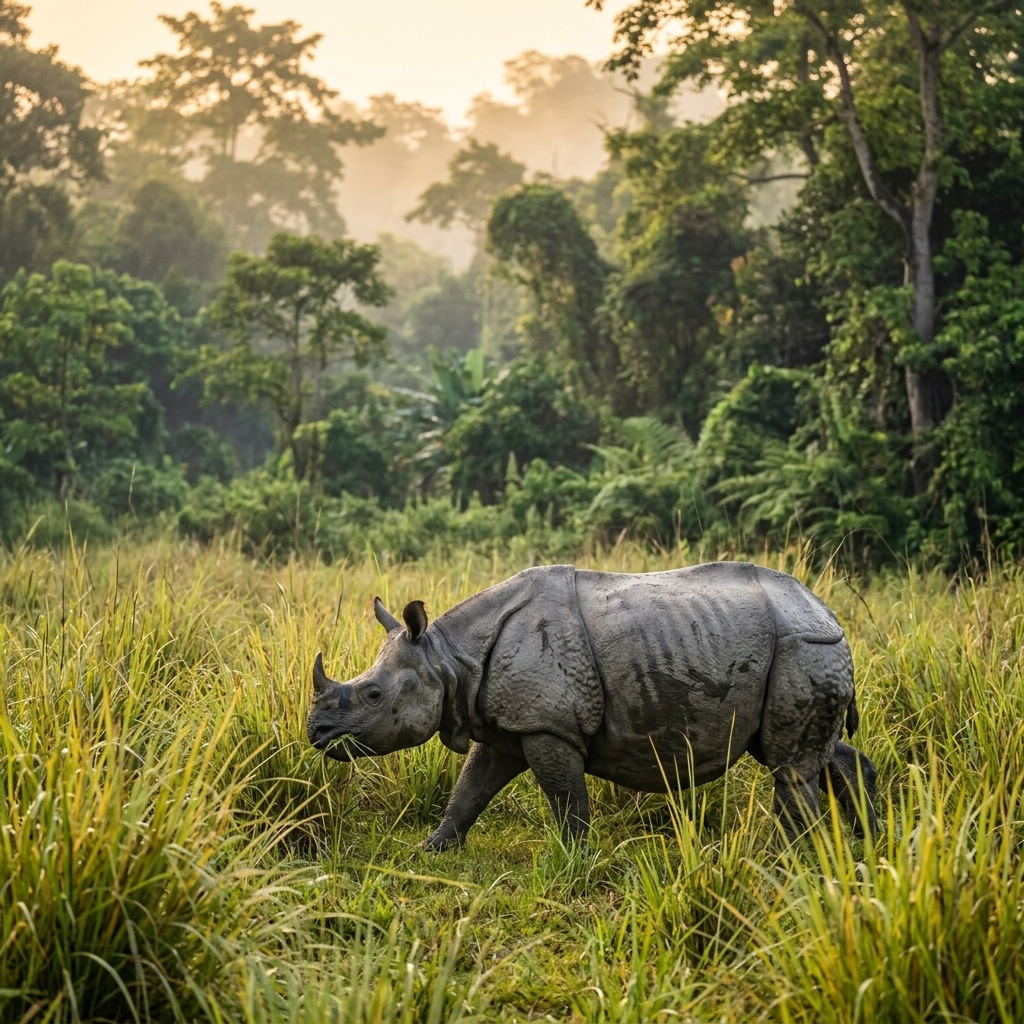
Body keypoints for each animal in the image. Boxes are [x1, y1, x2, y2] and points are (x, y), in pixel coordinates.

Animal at [306, 563, 877, 848]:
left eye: (373, 695)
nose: (315, 731)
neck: (449, 657)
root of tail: (825, 610)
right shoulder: (507, 724)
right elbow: (470, 790)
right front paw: (431, 850)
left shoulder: (547, 725)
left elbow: (566, 798)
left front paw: (574, 861)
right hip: (800, 647)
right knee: (812, 755)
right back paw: (865, 843)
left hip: (802, 646)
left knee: (790, 767)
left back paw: (787, 859)